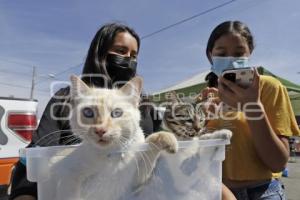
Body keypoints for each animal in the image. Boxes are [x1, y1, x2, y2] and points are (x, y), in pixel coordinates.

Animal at [47, 75, 177, 200]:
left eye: (117, 113)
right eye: (88, 112)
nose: (100, 130)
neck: (109, 154)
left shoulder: (135, 181)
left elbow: (149, 150)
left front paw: (168, 139)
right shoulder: (69, 176)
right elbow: (70, 194)